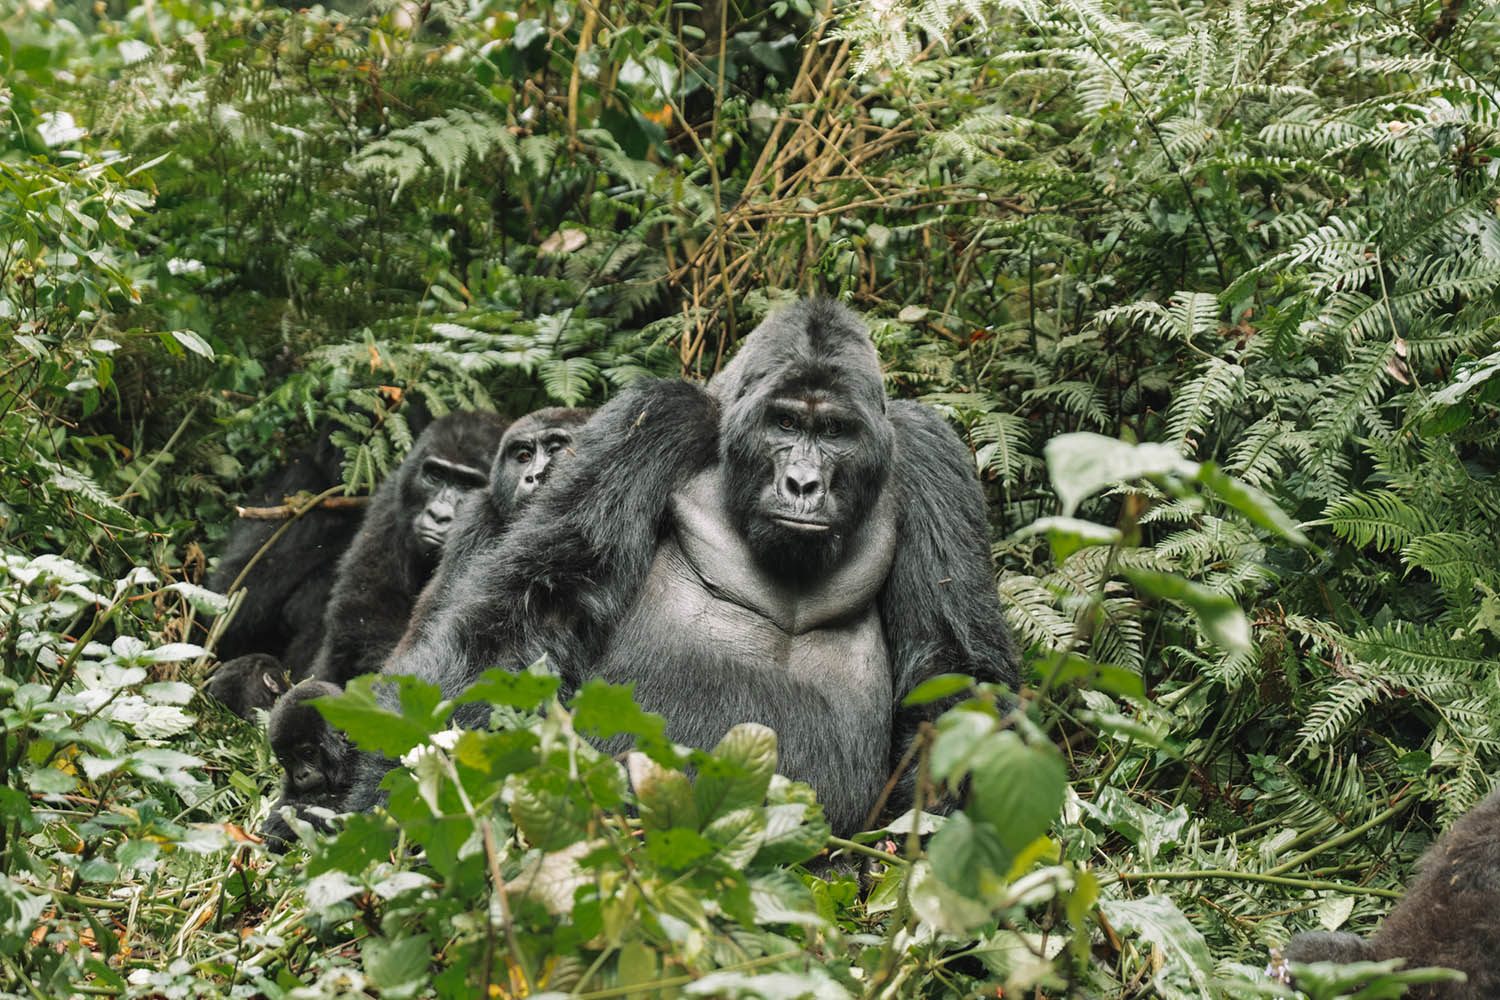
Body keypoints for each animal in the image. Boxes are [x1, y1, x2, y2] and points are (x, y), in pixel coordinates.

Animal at [343, 296, 1020, 839]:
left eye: (834, 431)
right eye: (785, 423)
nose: (802, 483)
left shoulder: (931, 452)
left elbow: (952, 667)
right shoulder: (654, 415)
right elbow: (537, 603)